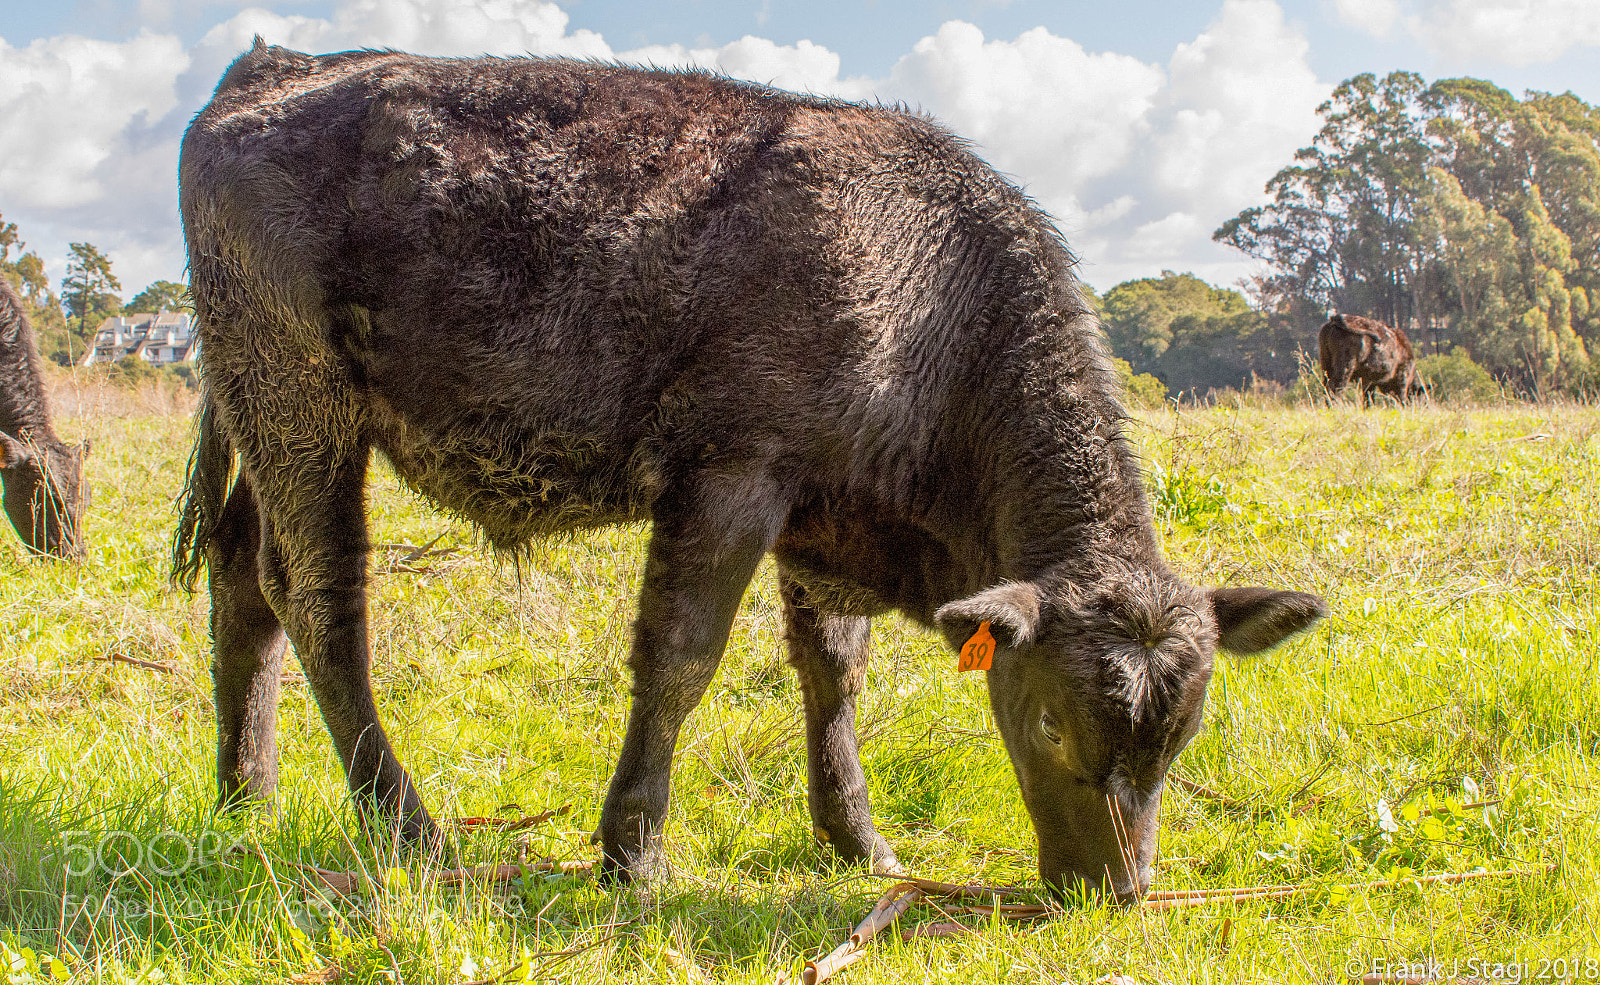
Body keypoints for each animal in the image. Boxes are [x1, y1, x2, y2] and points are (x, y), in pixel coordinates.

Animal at [173, 41, 1326, 902]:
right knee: (319, 600)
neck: (920, 290)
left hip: (264, 418)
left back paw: (245, 797)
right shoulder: (731, 476)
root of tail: (273, 65)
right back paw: (407, 827)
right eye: (1048, 722)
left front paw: (858, 839)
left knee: (241, 579)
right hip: (303, 409)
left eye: (1185, 732)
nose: (1119, 891)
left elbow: (832, 673)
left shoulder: (822, 519)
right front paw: (632, 853)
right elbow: (681, 658)